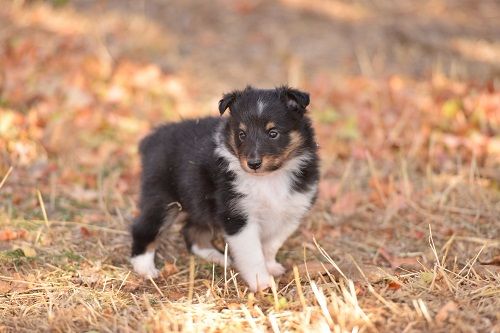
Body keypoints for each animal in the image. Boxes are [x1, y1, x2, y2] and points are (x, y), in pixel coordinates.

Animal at [132, 85, 320, 290]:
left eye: (273, 133)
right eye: (241, 134)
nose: (253, 164)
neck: (268, 178)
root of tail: (152, 138)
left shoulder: (290, 213)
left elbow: (270, 245)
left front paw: (271, 267)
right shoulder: (238, 217)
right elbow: (253, 254)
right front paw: (262, 283)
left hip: (200, 202)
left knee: (192, 231)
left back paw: (217, 257)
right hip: (163, 199)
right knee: (142, 228)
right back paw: (145, 269)